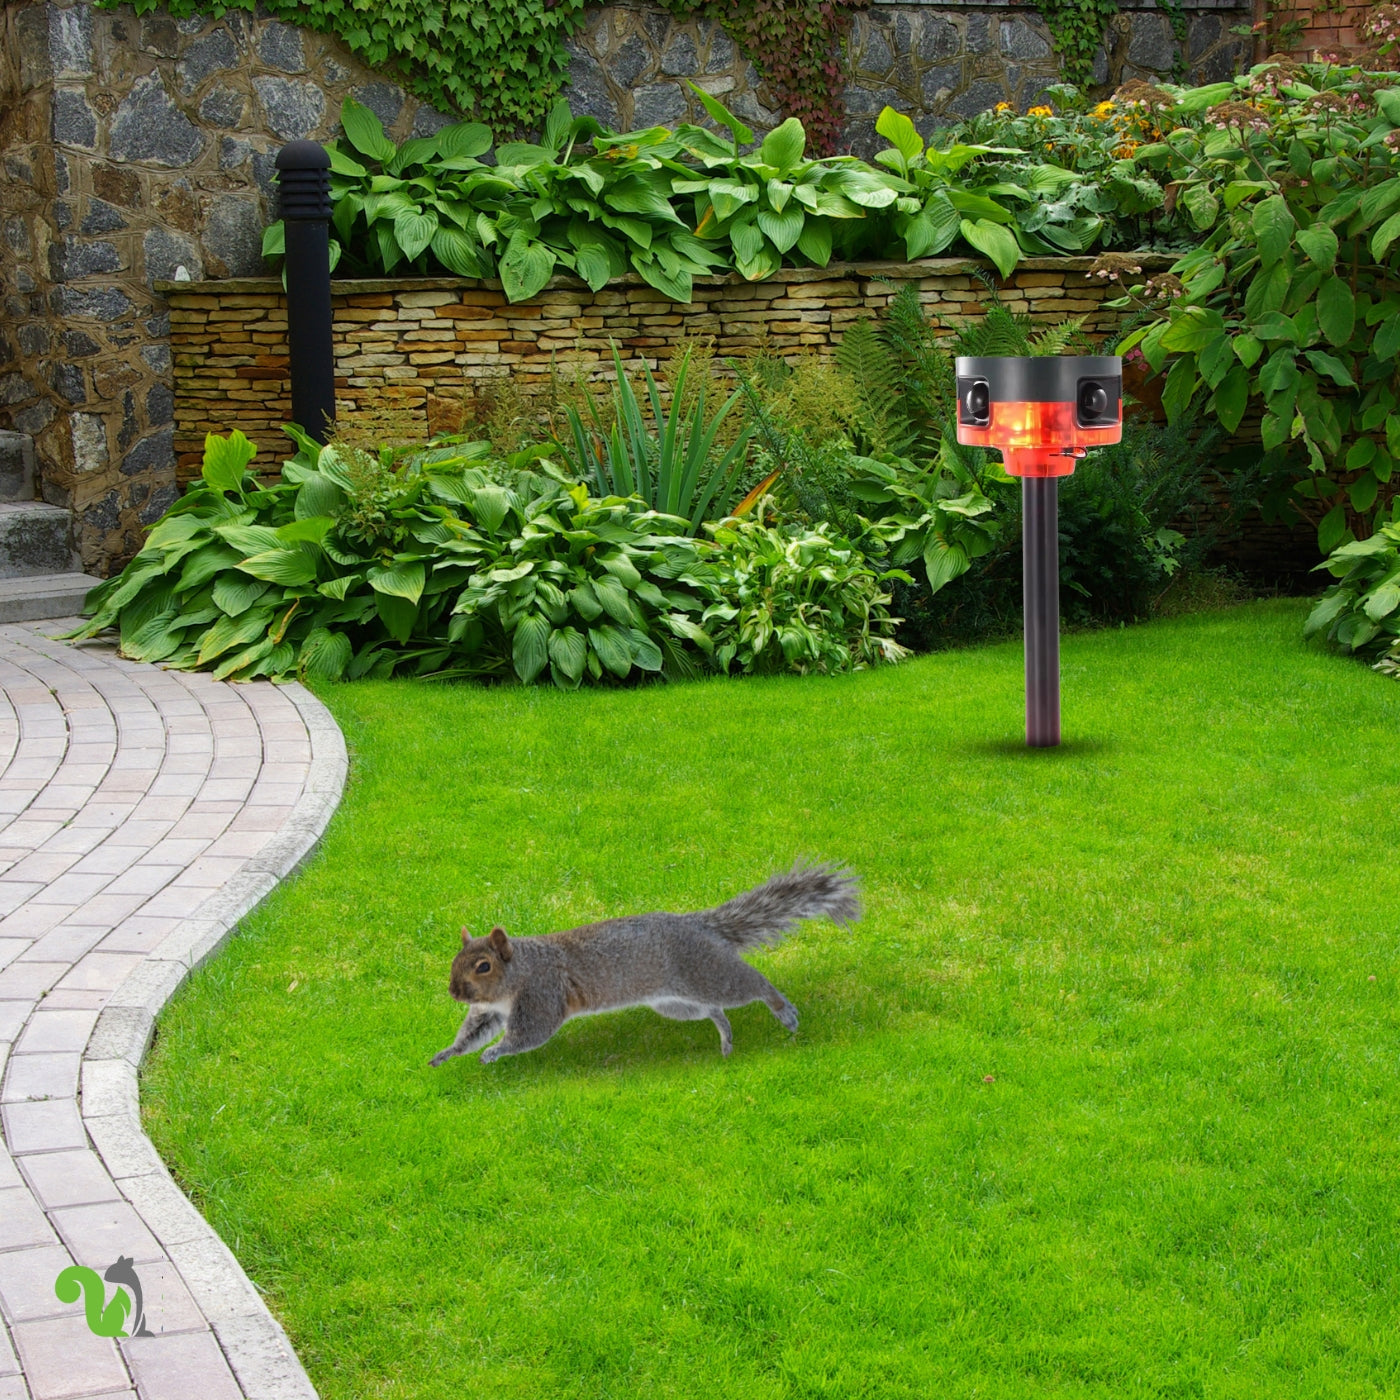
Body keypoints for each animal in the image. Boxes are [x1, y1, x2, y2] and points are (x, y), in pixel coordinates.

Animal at [431, 862, 856, 1058]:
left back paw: (782, 1009)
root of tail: (698, 925)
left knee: (752, 985)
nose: (454, 992)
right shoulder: (490, 1009)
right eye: (456, 959)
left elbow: (530, 1033)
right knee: (712, 1009)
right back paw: (725, 1035)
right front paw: (448, 1053)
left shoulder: (542, 993)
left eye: (483, 966)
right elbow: (474, 1030)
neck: (517, 974)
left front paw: (495, 1052)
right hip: (675, 1003)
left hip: (706, 972)